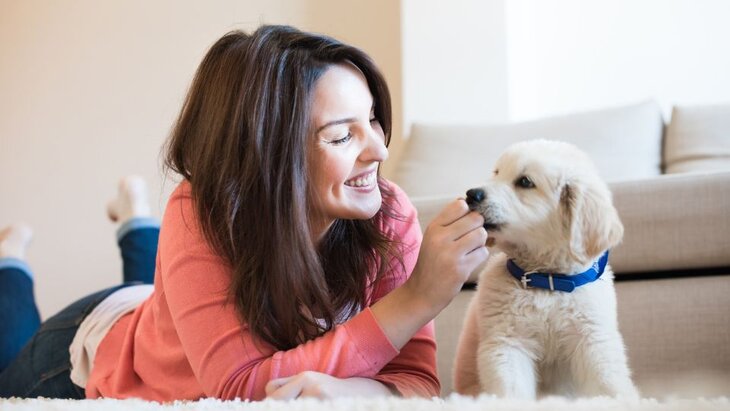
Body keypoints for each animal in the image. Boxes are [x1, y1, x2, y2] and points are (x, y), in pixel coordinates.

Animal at [450, 140, 636, 400]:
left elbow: (607, 384)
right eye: (496, 173)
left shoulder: (592, 339)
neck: (547, 279)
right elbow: (512, 390)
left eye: (525, 182)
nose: (471, 194)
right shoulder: (507, 342)